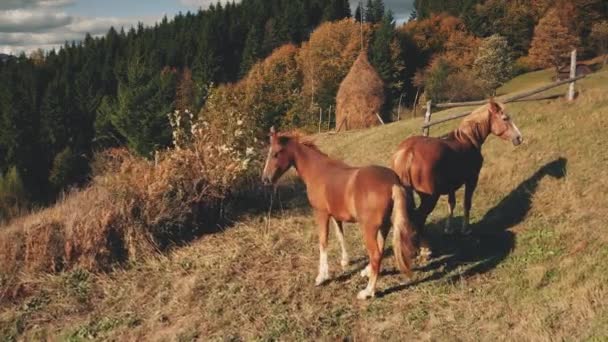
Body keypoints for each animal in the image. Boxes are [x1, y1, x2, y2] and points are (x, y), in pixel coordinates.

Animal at [262, 126, 418, 300]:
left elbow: (323, 241)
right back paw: (367, 272)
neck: (318, 171)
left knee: (376, 254)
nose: (265, 179)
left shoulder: (321, 214)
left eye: (276, 153)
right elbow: (340, 236)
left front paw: (322, 276)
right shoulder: (335, 216)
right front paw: (345, 261)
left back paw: (367, 292)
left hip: (369, 229)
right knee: (380, 249)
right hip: (384, 226)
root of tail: (393, 183)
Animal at [390, 99, 524, 254]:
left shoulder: (451, 186)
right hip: (430, 198)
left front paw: (448, 229)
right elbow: (466, 204)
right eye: (505, 118)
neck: (468, 139)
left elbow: (451, 204)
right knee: (419, 217)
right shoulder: (472, 180)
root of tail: (407, 152)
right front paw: (465, 230)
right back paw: (425, 249)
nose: (519, 138)